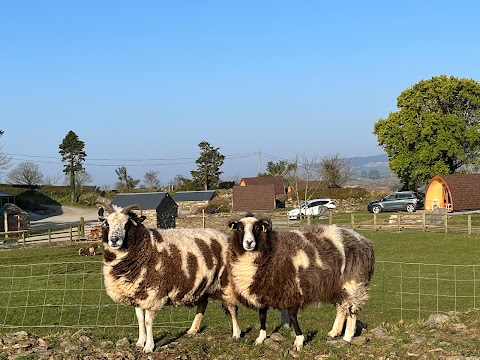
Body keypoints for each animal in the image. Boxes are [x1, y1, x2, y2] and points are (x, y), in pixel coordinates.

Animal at [228, 214, 376, 352]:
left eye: (258, 228)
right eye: (239, 228)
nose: (249, 243)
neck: (270, 250)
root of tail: (364, 241)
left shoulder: (292, 289)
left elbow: (293, 317)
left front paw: (299, 341)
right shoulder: (263, 290)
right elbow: (262, 316)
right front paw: (260, 338)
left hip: (353, 284)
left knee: (351, 310)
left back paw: (347, 336)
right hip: (338, 286)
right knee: (342, 308)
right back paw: (333, 333)